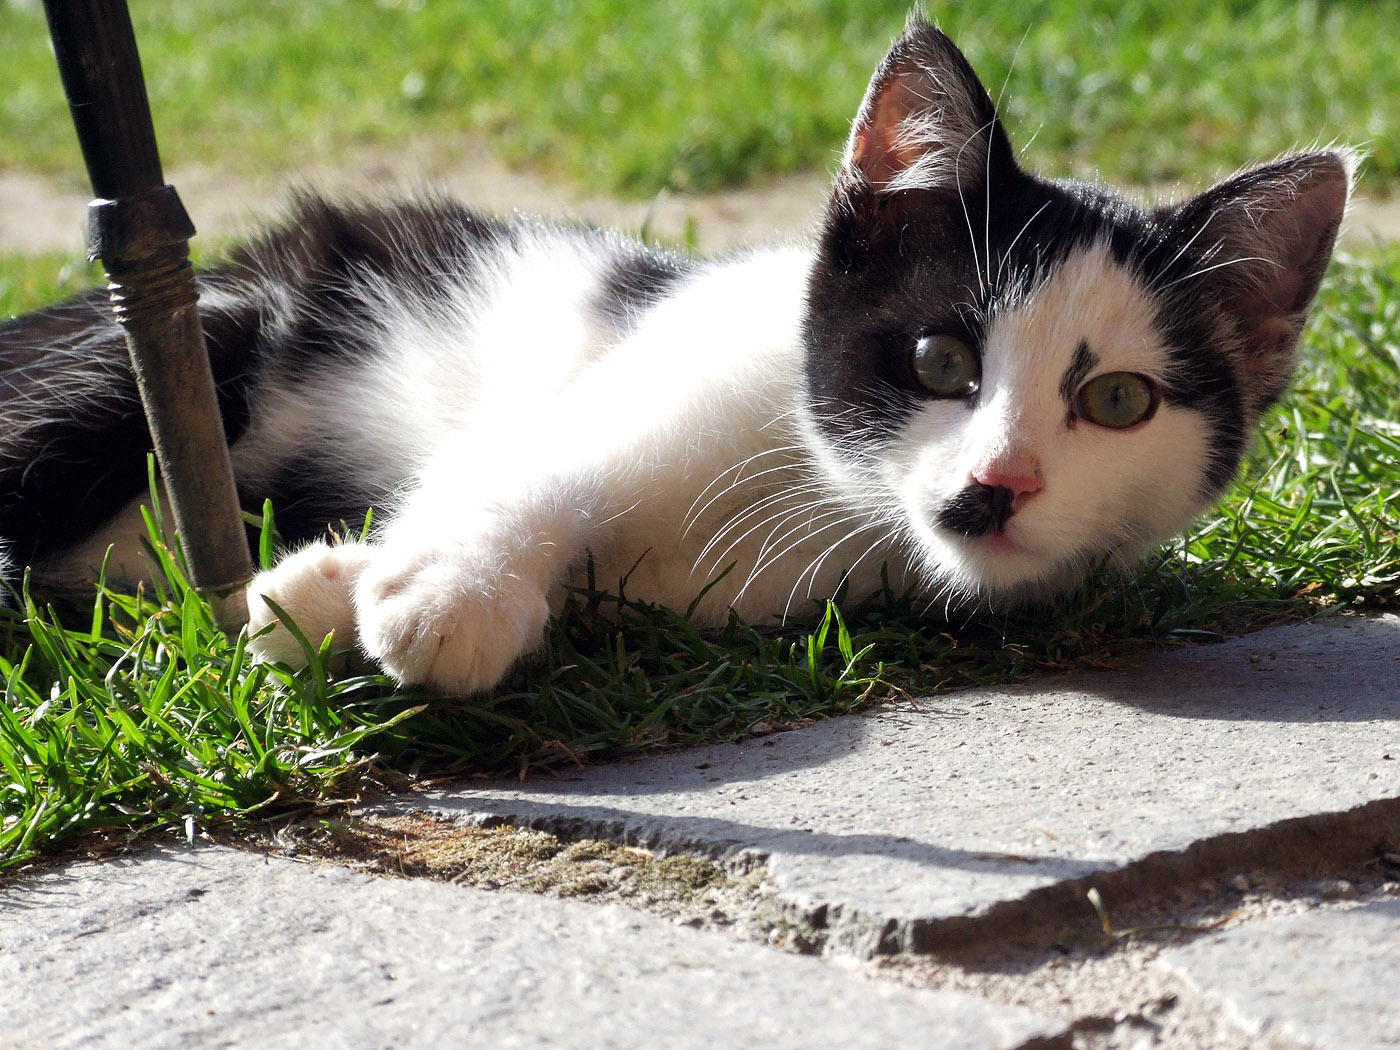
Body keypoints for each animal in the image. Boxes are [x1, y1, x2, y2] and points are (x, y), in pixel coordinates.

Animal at [2, 20, 1355, 694]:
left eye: (1117, 400)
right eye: (936, 358)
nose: (994, 487)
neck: (818, 491)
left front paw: (325, 590)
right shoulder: (632, 366)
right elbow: (528, 462)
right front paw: (446, 595)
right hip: (194, 335)